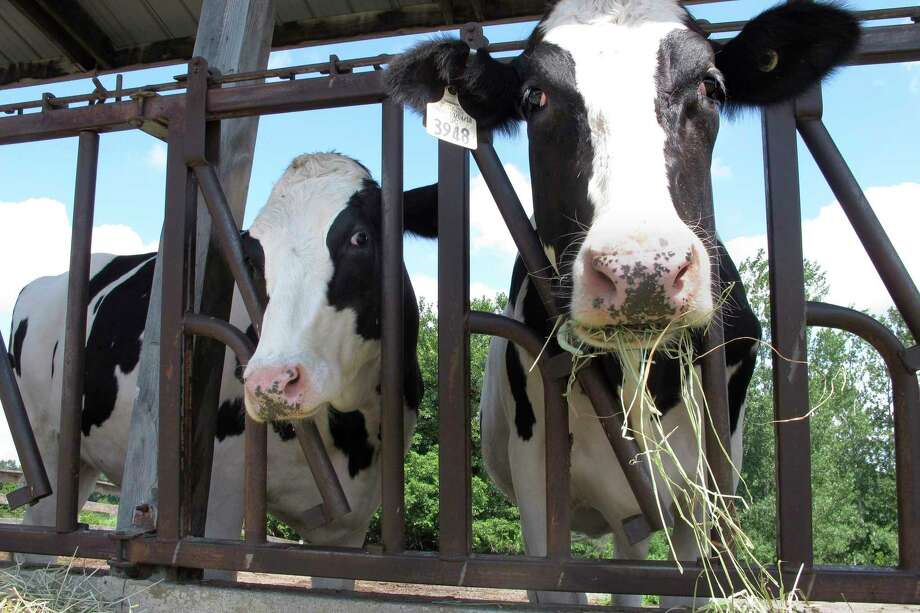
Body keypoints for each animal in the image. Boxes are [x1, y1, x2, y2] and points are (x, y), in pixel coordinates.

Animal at [8, 153, 437, 588]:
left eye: (360, 238)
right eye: (252, 259)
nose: (270, 382)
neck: (350, 431)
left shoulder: (348, 529)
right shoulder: (217, 504)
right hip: (47, 446)